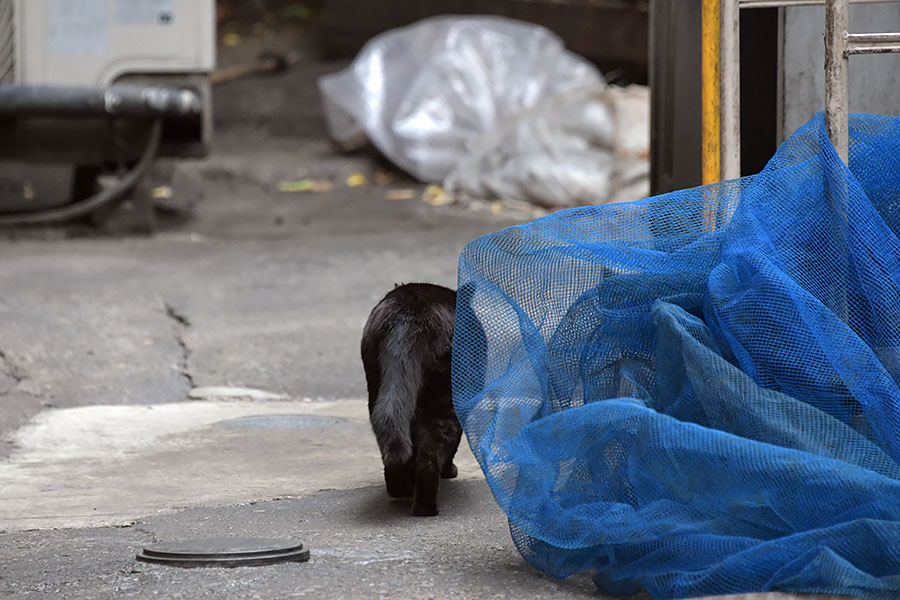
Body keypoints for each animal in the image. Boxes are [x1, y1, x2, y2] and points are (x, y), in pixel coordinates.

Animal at [360, 282, 460, 516]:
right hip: (443, 398)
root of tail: (407, 320)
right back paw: (425, 508)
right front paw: (449, 471)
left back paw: (399, 489)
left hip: (377, 389)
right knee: (432, 450)